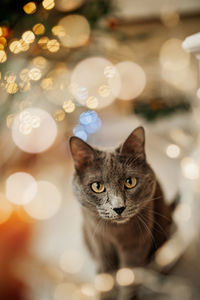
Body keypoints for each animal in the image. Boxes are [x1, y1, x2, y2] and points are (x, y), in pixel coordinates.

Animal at [70, 127, 173, 300]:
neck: (115, 233)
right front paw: (105, 293)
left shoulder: (136, 245)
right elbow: (107, 272)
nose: (118, 208)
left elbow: (129, 279)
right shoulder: (99, 240)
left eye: (130, 182)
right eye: (97, 186)